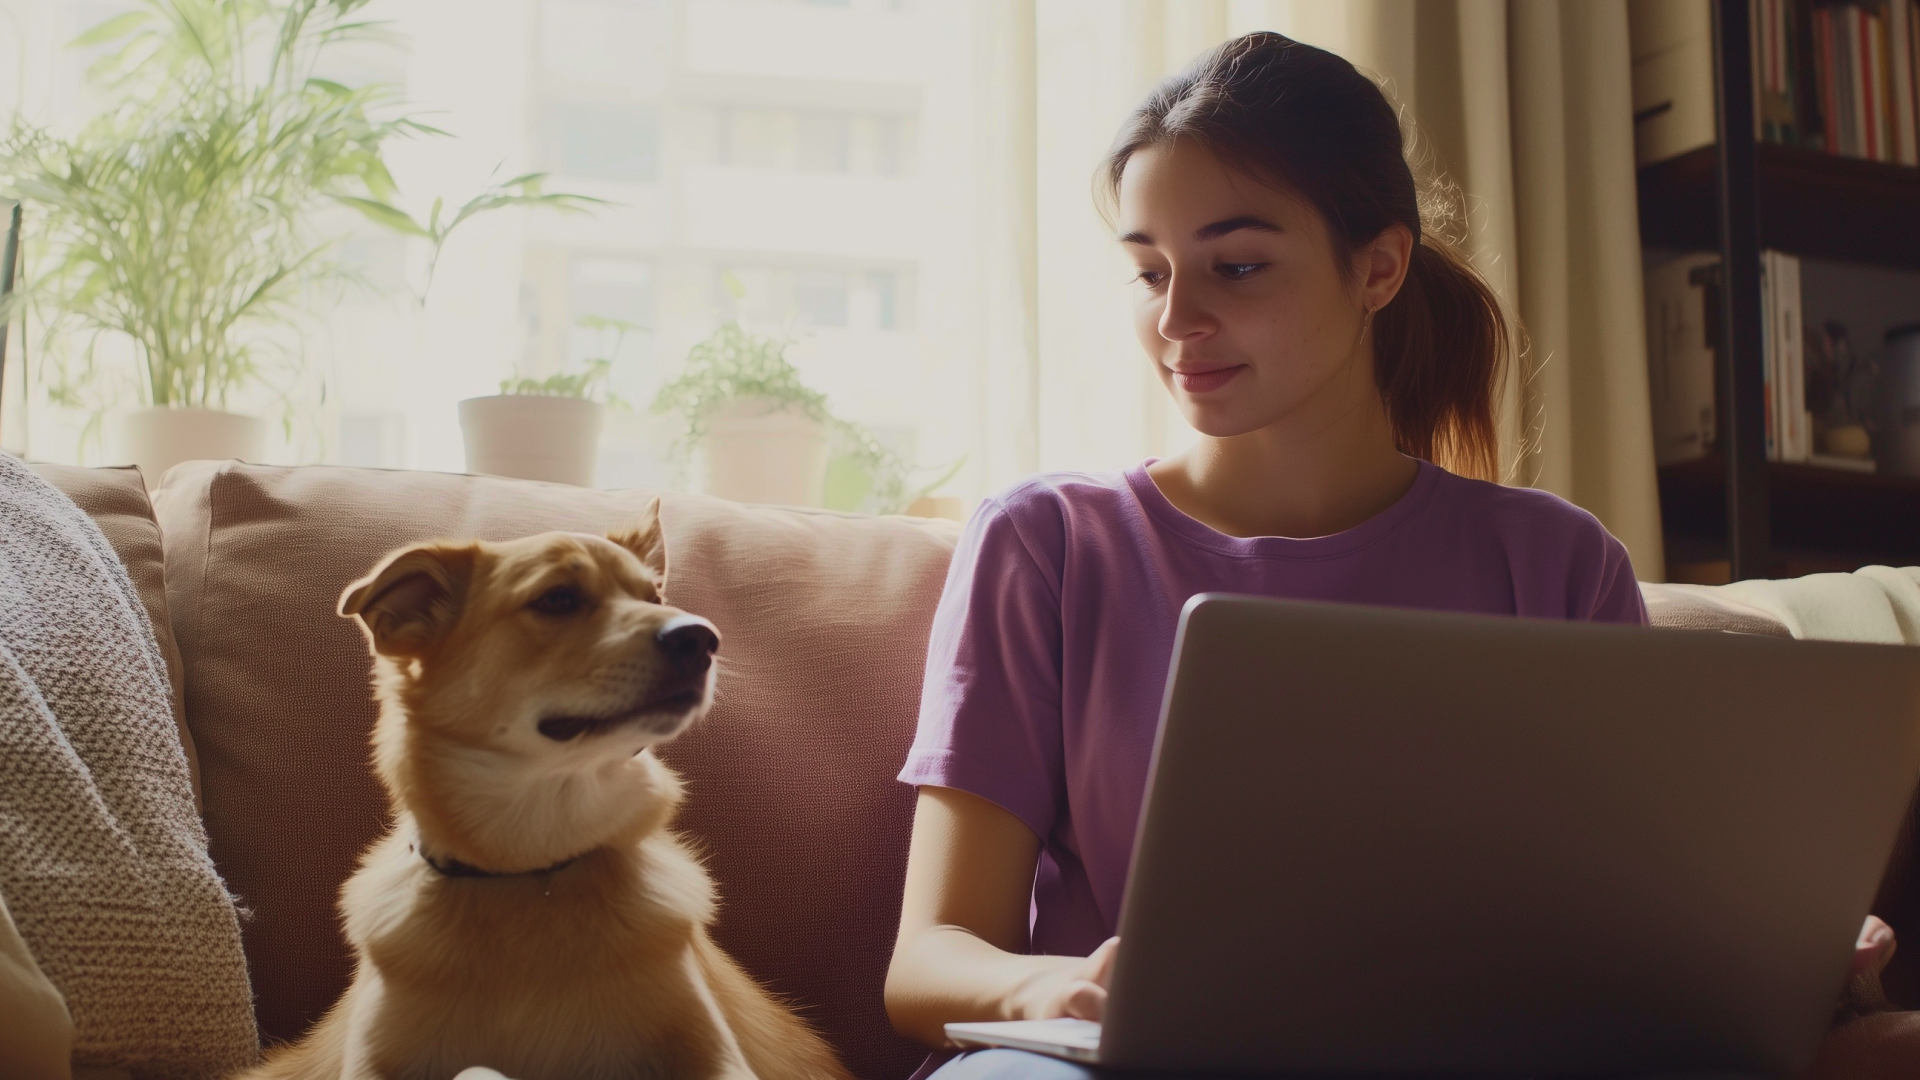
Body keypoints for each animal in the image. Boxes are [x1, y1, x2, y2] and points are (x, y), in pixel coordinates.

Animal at [238, 503, 848, 1076]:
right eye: (558, 599)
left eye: (654, 595)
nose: (702, 637)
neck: (530, 872)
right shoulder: (368, 1059)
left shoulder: (717, 1054)